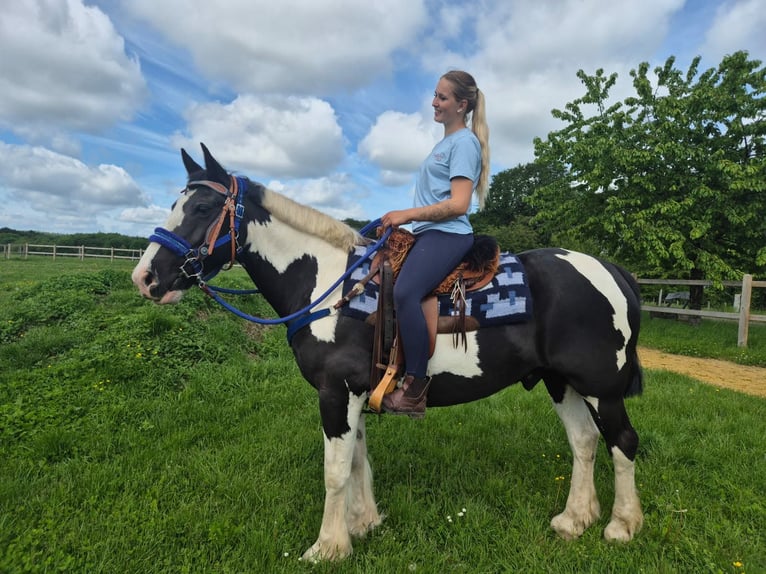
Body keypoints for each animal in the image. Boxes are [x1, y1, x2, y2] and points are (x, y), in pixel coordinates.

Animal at [132, 143, 644, 561]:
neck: (330, 285)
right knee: (584, 441)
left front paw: (327, 547)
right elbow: (357, 460)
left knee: (622, 442)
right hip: (563, 383)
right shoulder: (353, 394)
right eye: (176, 203)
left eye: (201, 206)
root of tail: (612, 270)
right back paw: (574, 520)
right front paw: (361, 524)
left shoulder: (335, 393)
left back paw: (621, 526)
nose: (145, 278)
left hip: (602, 388)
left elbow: (335, 471)